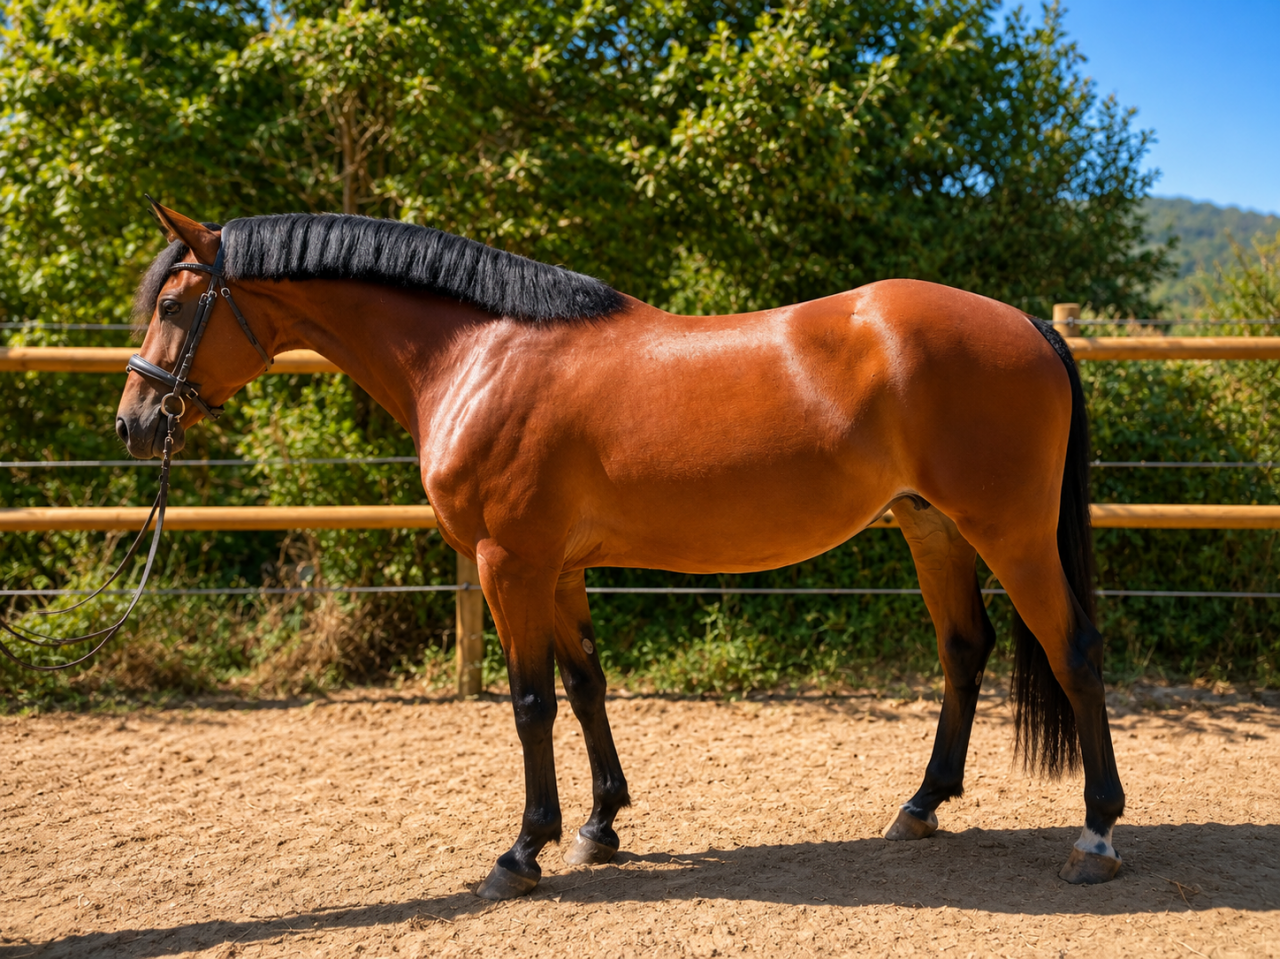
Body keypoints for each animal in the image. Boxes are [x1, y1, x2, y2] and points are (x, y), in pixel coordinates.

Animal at [115, 201, 1126, 900]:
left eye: (175, 301)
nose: (134, 421)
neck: (482, 353)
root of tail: (1031, 324)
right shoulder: (558, 568)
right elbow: (586, 685)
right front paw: (600, 826)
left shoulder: (508, 563)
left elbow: (529, 704)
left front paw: (521, 851)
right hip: (931, 526)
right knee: (965, 651)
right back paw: (921, 805)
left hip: (1009, 532)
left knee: (1074, 651)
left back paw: (1097, 834)